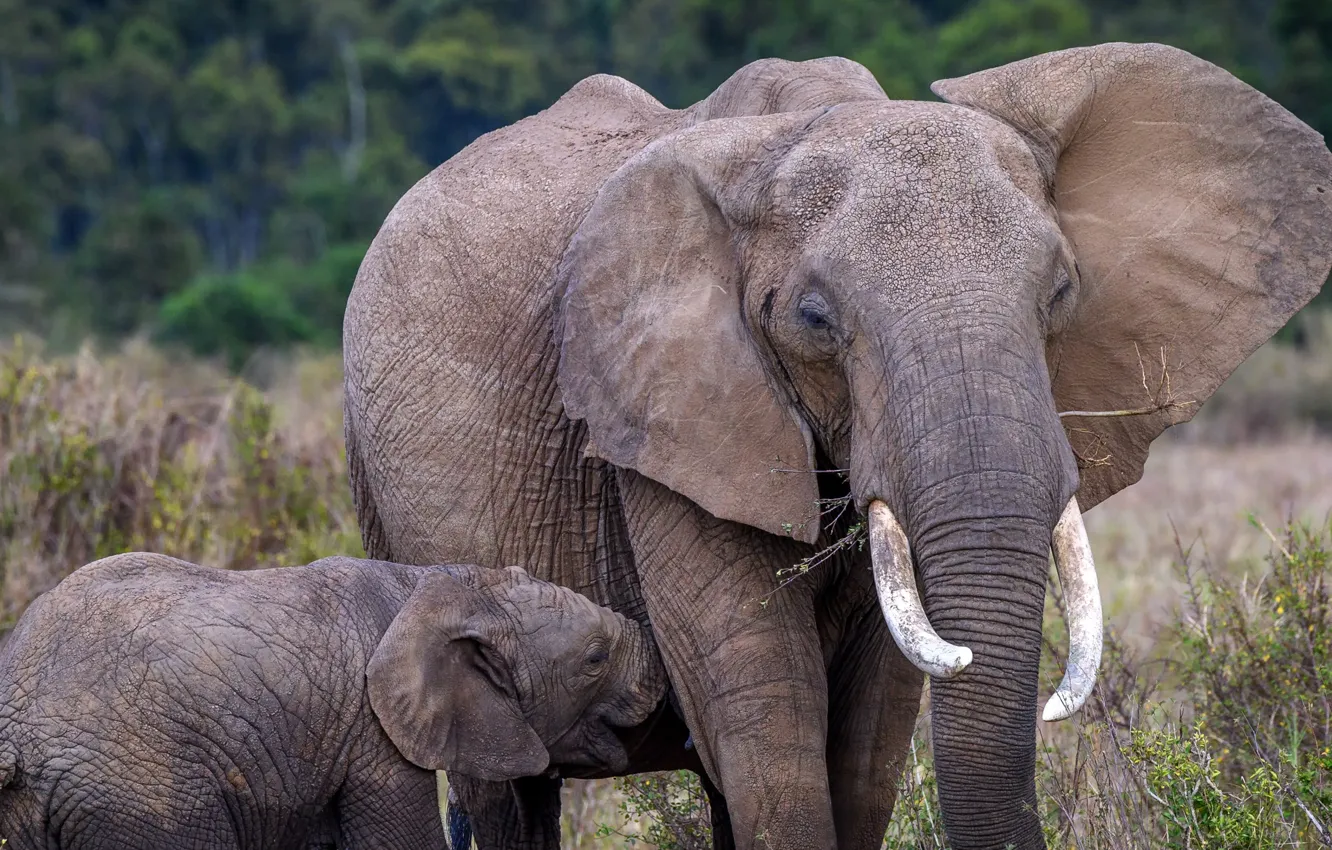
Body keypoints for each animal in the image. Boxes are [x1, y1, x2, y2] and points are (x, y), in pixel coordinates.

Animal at [341, 42, 1332, 850]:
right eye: (814, 319)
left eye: (1059, 293)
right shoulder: (661, 422)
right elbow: (761, 709)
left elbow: (871, 729)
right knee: (508, 797)